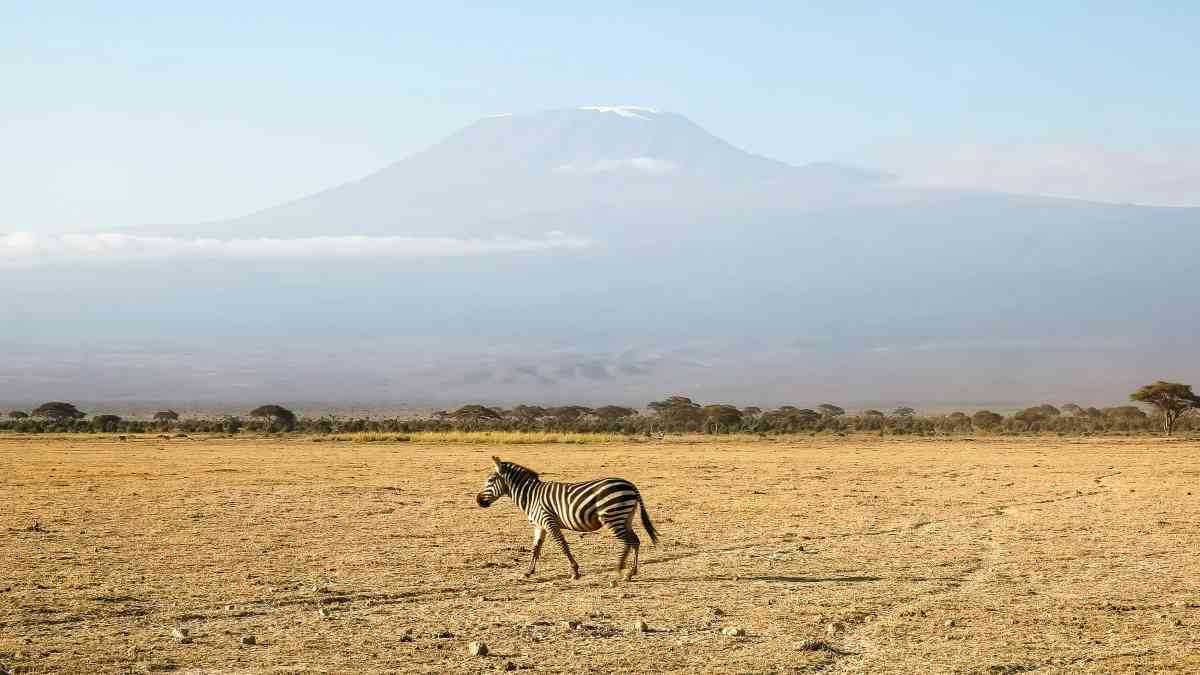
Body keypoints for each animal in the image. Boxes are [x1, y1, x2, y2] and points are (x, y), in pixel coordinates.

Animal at [475, 456, 662, 578]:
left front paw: (574, 571)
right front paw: (529, 571)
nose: (478, 501)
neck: (531, 496)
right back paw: (632, 572)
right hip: (625, 517)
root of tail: (631, 485)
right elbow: (536, 548)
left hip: (613, 516)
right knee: (635, 541)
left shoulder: (548, 521)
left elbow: (562, 545)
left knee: (628, 542)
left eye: (490, 481)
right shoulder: (539, 526)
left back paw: (621, 570)